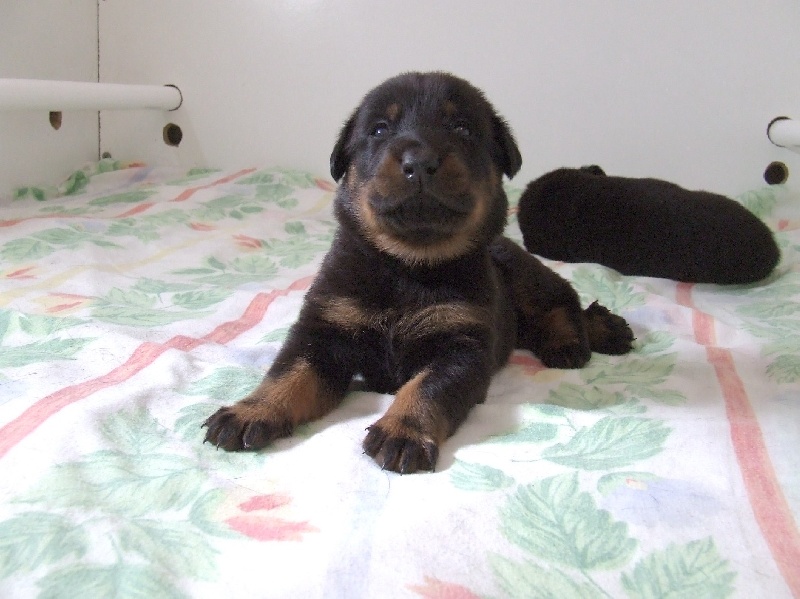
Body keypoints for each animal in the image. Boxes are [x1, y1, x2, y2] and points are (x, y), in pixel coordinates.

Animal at [203, 71, 636, 474]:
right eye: (379, 129)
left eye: (462, 128)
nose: (419, 163)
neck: (406, 266)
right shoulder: (324, 329)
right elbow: (288, 374)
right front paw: (251, 410)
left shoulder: (462, 346)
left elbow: (427, 388)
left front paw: (403, 431)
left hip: (524, 276)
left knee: (562, 300)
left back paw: (582, 336)